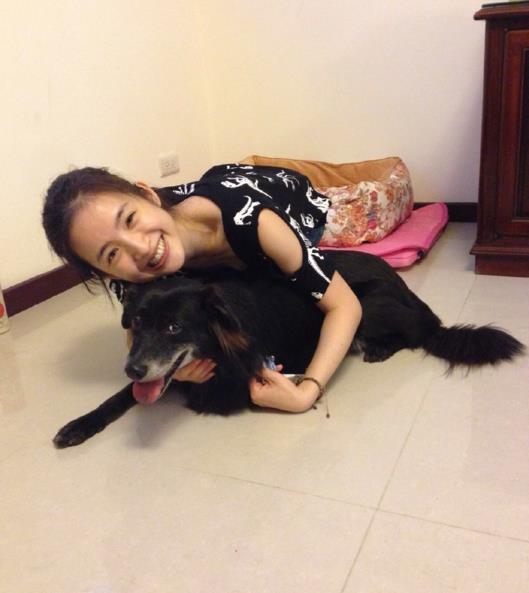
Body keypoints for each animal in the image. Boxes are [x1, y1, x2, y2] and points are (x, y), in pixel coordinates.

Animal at [53, 251, 525, 448]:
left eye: (173, 327)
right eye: (135, 323)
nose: (132, 369)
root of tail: (412, 295)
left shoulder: (235, 381)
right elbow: (119, 399)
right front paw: (79, 425)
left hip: (368, 306)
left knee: (413, 336)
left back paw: (377, 347)